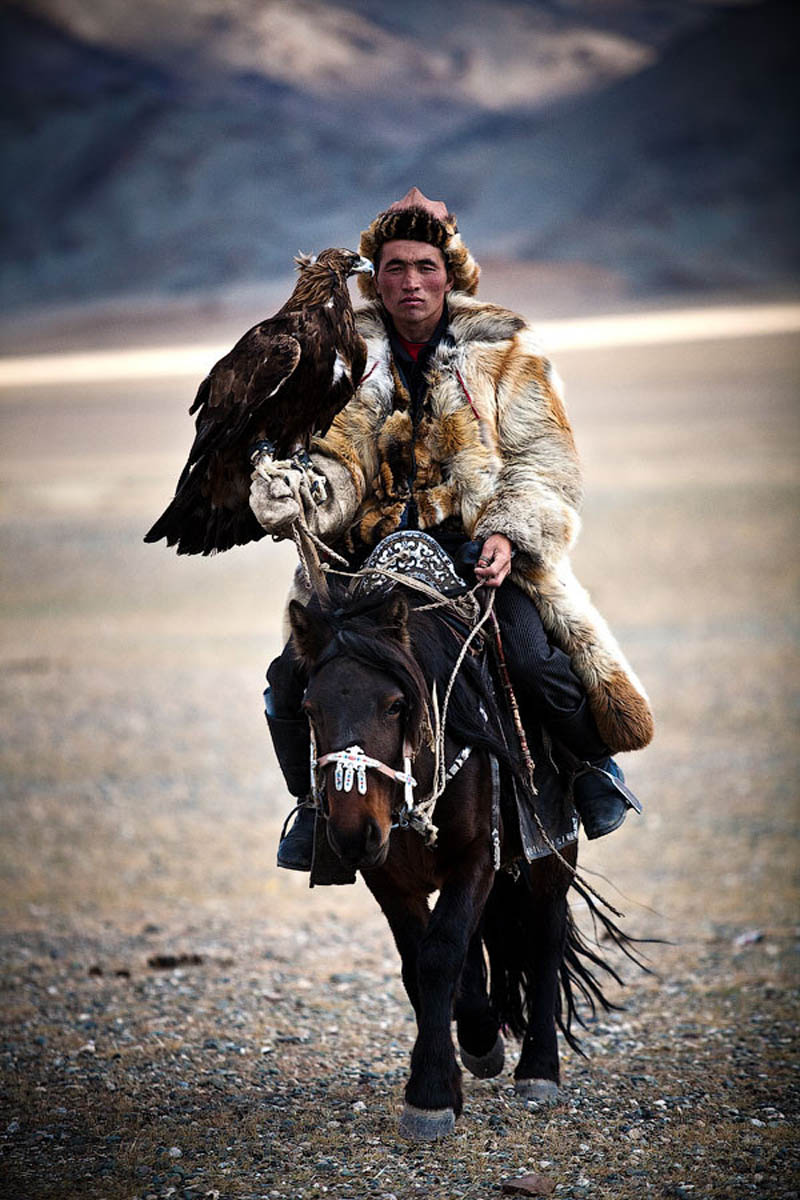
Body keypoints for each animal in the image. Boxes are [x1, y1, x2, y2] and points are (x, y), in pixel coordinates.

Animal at [288, 575, 633, 1142]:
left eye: (394, 705)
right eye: (311, 709)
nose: (353, 834)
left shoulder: (476, 857)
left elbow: (440, 953)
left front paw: (429, 1095)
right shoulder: (388, 877)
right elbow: (419, 960)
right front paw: (463, 1054)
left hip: (551, 854)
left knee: (544, 937)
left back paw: (538, 1069)